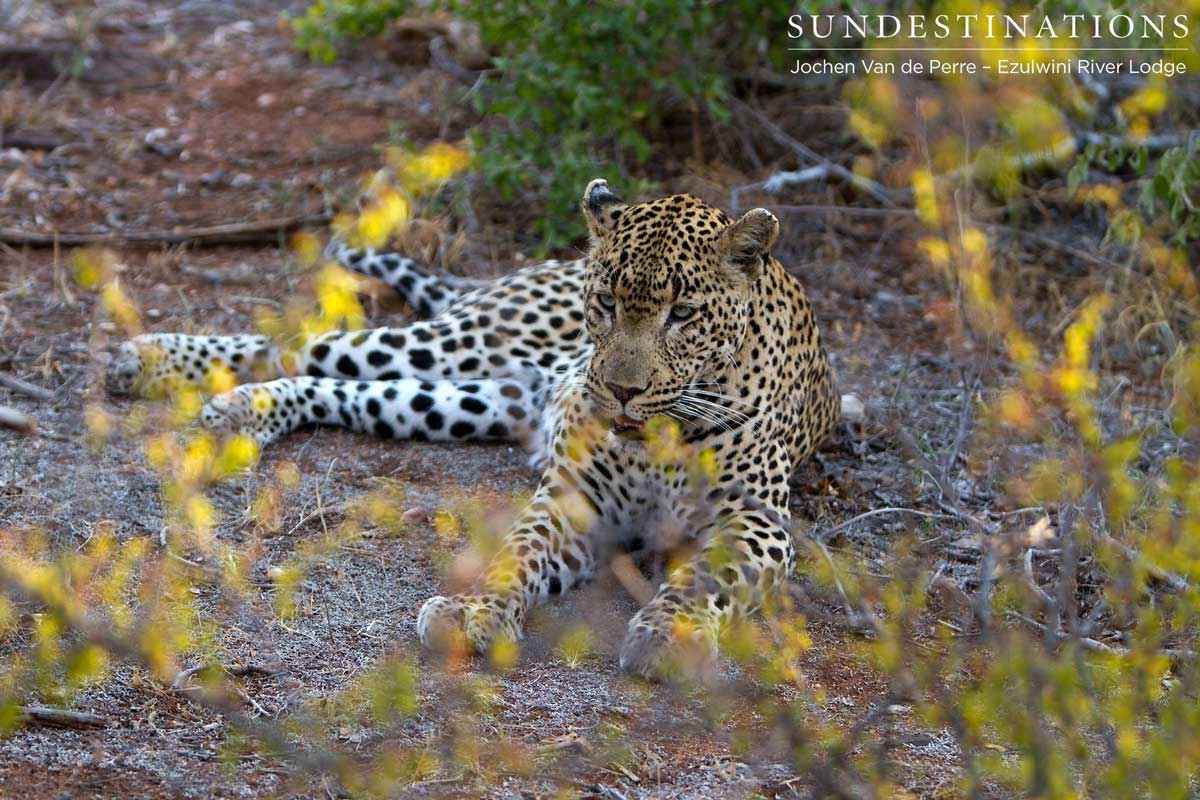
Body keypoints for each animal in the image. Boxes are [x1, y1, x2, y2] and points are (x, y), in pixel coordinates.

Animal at [107, 179, 842, 678]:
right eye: (608, 303)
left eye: (683, 314)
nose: (621, 390)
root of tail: (551, 263)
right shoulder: (575, 500)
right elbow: (518, 552)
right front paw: (472, 612)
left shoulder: (757, 524)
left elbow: (705, 581)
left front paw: (670, 634)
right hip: (468, 344)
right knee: (307, 343)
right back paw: (151, 359)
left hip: (480, 399)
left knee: (350, 385)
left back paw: (241, 410)